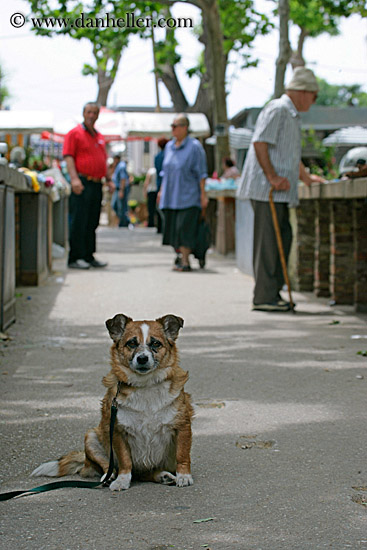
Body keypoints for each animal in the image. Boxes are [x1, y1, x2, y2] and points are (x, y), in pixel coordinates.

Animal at [31, 314, 194, 492]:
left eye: (156, 344)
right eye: (131, 343)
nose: (142, 358)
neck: (145, 385)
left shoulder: (182, 426)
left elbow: (182, 455)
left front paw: (184, 476)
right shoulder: (117, 431)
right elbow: (125, 460)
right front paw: (122, 480)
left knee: (145, 473)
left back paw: (162, 475)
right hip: (91, 438)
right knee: (109, 467)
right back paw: (108, 478)